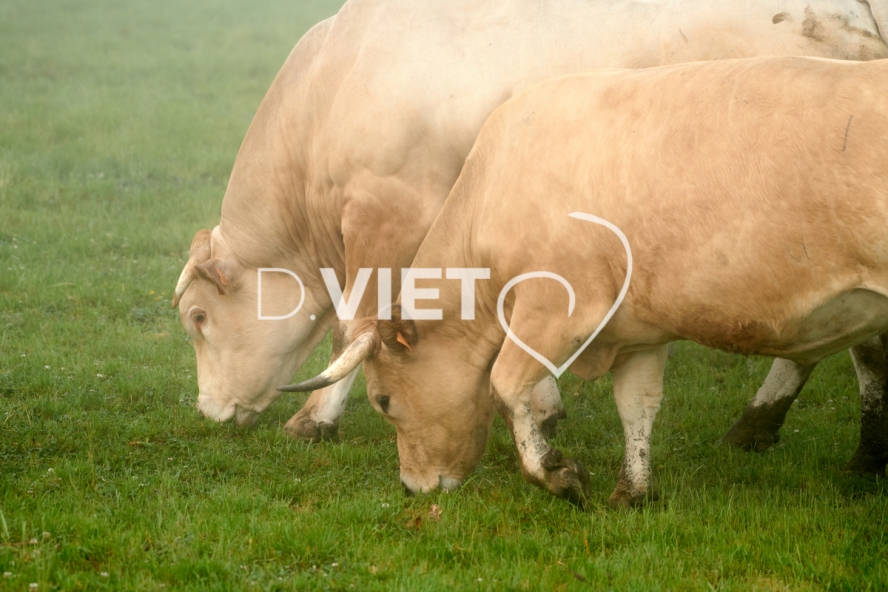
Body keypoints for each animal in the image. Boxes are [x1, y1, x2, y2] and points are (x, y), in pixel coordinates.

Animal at [173, 0, 888, 457]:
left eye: (199, 318)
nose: (207, 412)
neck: (335, 82)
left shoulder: (386, 213)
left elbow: (356, 327)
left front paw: (315, 420)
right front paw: (542, 407)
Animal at [280, 57, 888, 507]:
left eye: (383, 400)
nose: (414, 488)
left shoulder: (557, 311)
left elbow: (506, 387)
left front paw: (557, 475)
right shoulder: (641, 330)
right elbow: (637, 406)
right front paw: (634, 492)